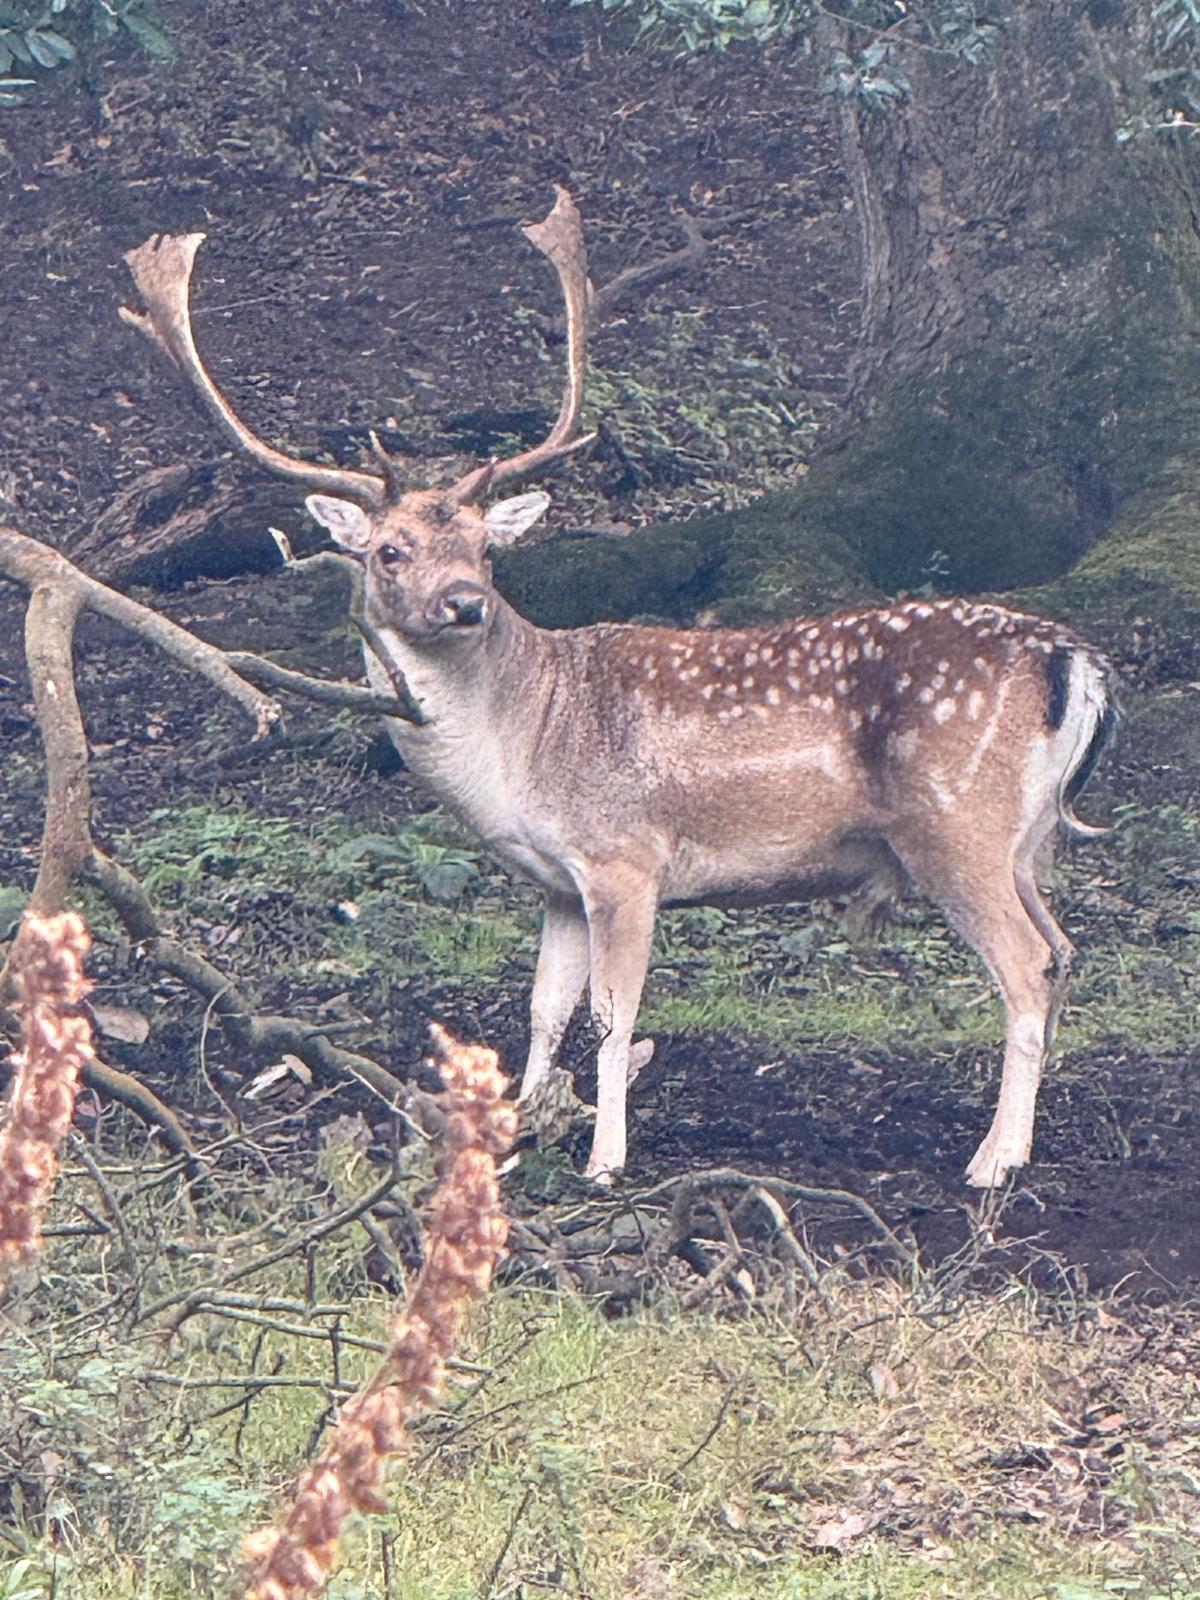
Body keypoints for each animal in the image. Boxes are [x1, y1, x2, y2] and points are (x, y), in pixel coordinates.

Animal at [120, 188, 1115, 1188]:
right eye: (390, 550)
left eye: (484, 547)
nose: (466, 602)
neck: (519, 750)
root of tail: (1077, 663)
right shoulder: (556, 883)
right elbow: (542, 1009)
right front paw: (515, 1140)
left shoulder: (626, 860)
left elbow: (613, 1014)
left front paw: (603, 1159)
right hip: (1024, 838)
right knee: (1065, 951)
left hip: (954, 823)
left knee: (1027, 964)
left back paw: (995, 1160)